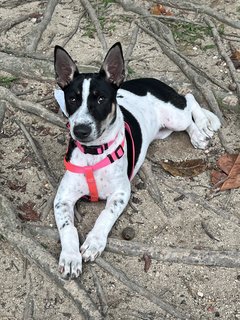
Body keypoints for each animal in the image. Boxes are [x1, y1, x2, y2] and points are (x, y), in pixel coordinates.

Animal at [53, 42, 220, 278]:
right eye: (73, 99)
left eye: (101, 99)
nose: (81, 130)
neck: (93, 153)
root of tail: (152, 81)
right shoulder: (62, 199)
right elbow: (68, 227)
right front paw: (70, 256)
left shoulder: (121, 193)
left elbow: (105, 216)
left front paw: (94, 242)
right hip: (164, 130)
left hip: (174, 116)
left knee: (189, 100)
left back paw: (201, 128)